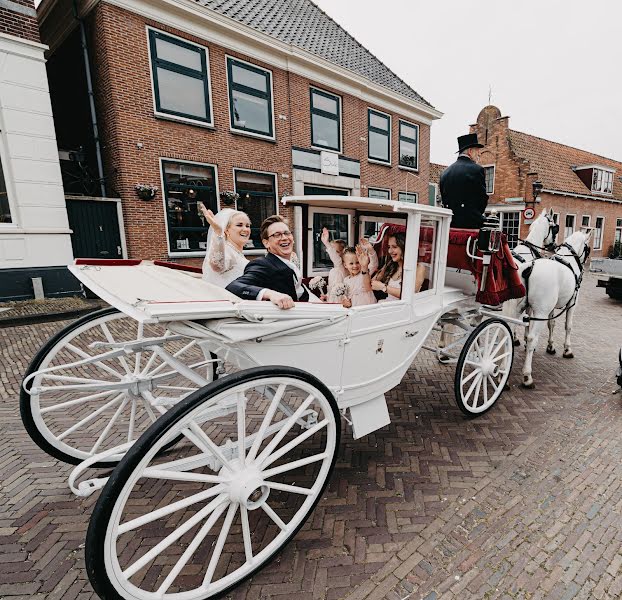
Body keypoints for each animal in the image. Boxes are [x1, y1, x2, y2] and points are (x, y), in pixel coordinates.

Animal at [520, 230, 596, 390]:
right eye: (587, 248)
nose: (585, 264)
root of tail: (531, 268)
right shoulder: (572, 304)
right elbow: (568, 326)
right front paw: (567, 350)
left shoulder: (551, 308)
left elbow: (552, 324)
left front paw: (551, 346)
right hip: (540, 313)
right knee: (531, 338)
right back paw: (527, 376)